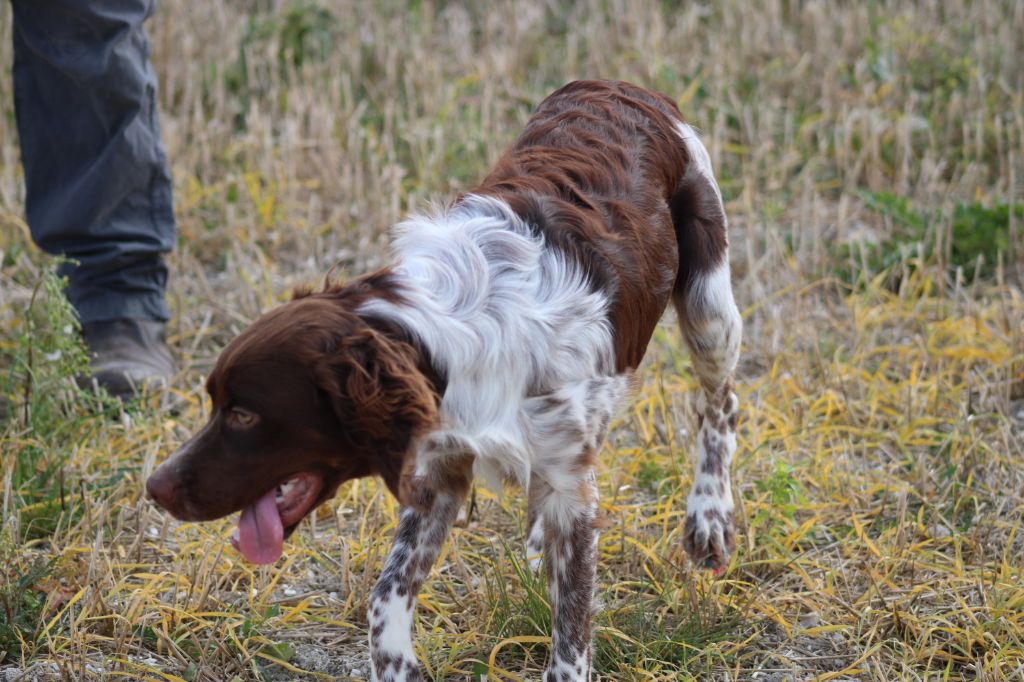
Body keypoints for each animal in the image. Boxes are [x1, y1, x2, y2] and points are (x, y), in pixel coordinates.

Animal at [146, 80, 737, 679]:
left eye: (244, 414)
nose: (155, 487)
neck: (443, 340)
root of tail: (617, 85)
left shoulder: (568, 487)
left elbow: (570, 642)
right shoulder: (439, 468)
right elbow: (384, 599)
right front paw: (400, 664)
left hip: (710, 308)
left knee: (721, 403)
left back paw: (708, 518)